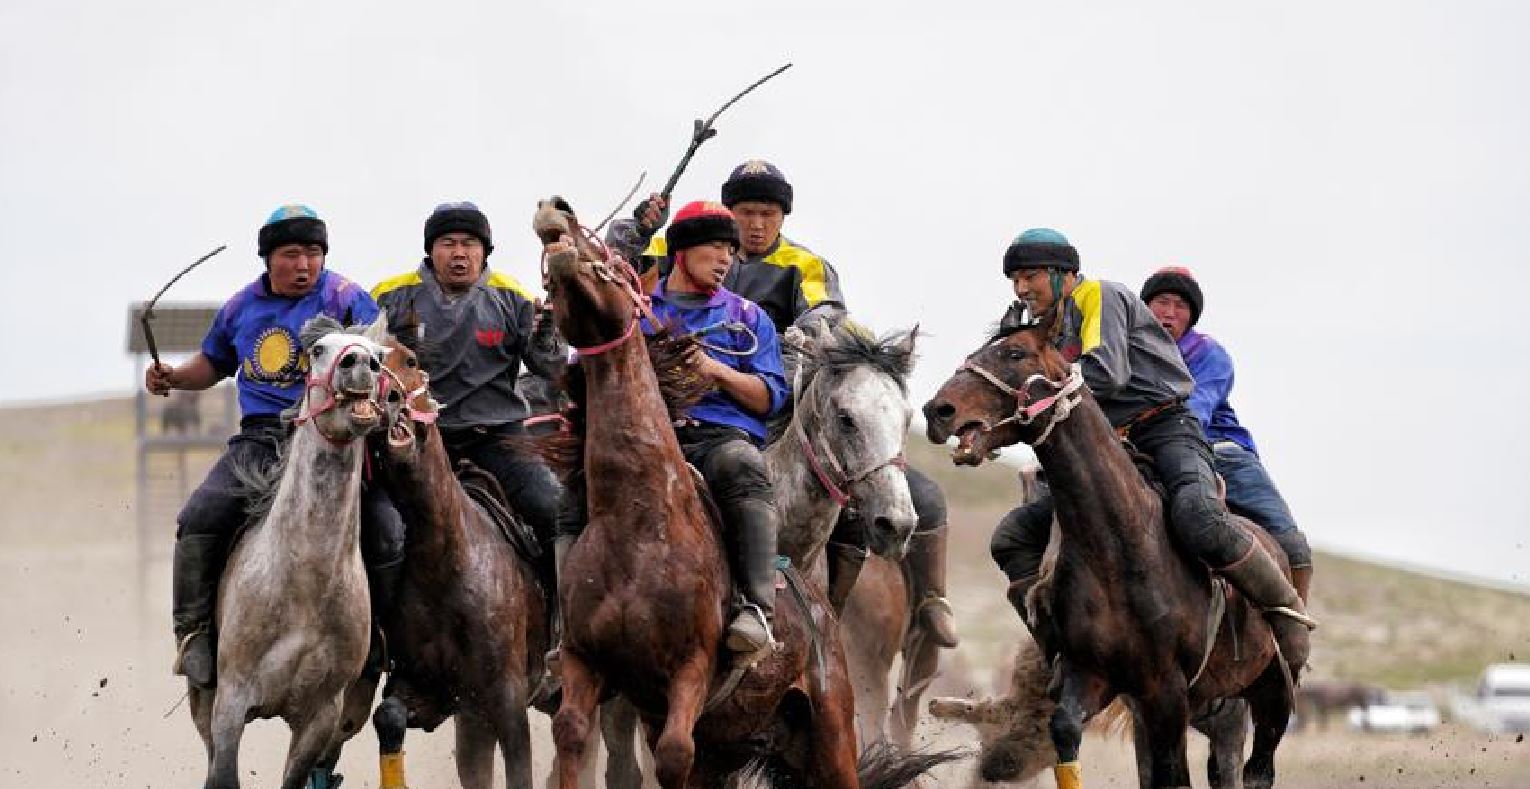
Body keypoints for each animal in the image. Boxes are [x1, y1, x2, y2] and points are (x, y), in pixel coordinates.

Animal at [188, 314, 391, 789]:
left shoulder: (321, 716)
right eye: (318, 350)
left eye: (379, 355)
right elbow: (223, 775)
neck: (303, 581)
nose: (360, 366)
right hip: (203, 699)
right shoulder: (230, 706)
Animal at [364, 328, 550, 789]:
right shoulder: (438, 692)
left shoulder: (508, 700)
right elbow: (389, 716)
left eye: (410, 360)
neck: (446, 561)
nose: (387, 399)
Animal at [918, 321, 1303, 789]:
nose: (937, 411)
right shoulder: (1094, 677)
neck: (1117, 549)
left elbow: (1174, 776)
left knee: (1257, 767)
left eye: (1015, 353)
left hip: (1268, 694)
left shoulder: (1166, 690)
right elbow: (1068, 732)